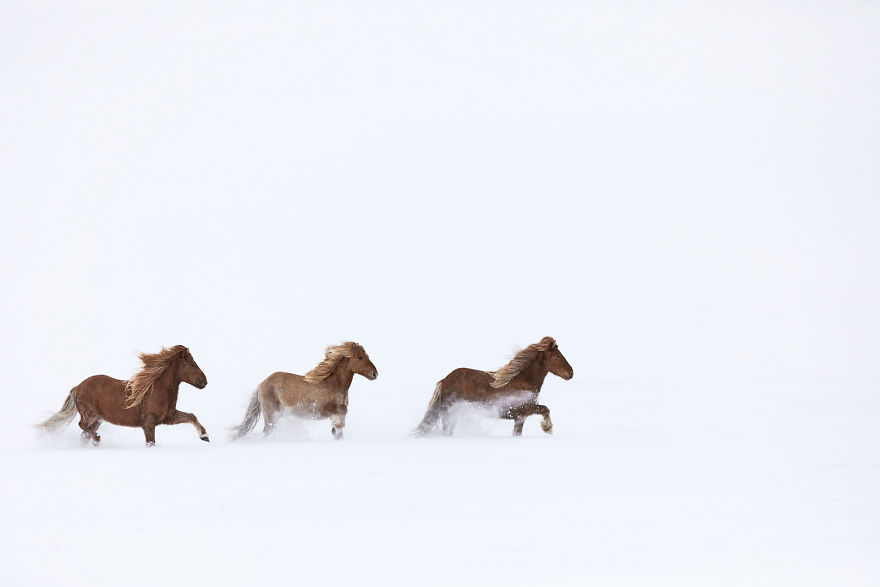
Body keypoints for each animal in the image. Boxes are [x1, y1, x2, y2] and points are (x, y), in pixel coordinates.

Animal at [37, 345, 209, 446]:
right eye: (192, 364)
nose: (204, 382)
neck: (156, 390)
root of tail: (77, 387)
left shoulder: (168, 417)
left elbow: (191, 416)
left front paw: (205, 436)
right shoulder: (149, 423)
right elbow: (151, 442)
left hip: (98, 419)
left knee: (84, 433)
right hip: (90, 415)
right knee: (82, 426)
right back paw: (97, 439)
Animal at [233, 341, 378, 440]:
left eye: (367, 355)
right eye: (359, 357)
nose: (375, 374)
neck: (332, 384)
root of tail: (262, 384)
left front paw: (336, 431)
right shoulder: (321, 410)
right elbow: (341, 412)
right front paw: (338, 427)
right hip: (271, 415)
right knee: (267, 431)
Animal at [412, 336, 573, 437]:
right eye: (558, 355)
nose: (571, 373)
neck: (523, 380)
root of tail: (444, 380)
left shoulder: (520, 417)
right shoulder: (525, 409)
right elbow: (545, 409)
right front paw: (548, 428)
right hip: (449, 413)